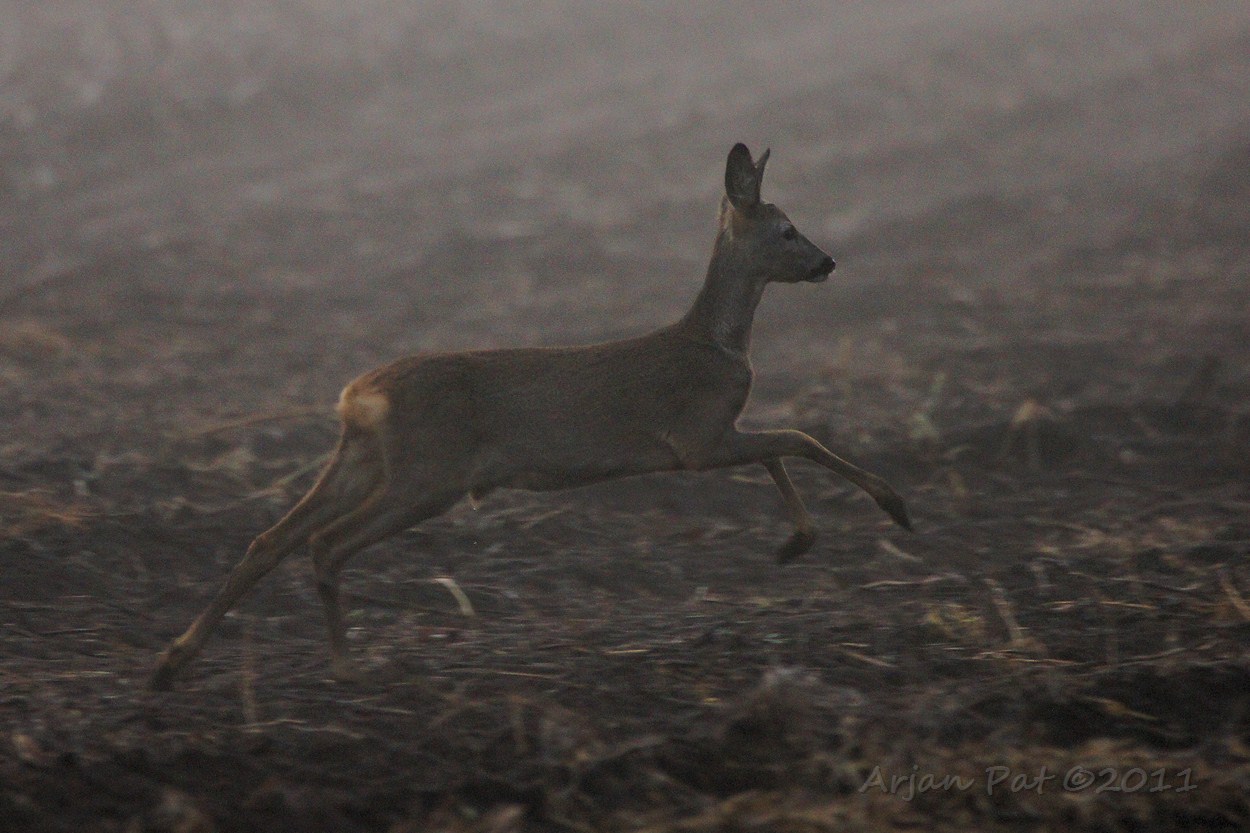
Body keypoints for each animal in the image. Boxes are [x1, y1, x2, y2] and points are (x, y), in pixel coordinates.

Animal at [149, 143, 912, 690]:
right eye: (787, 229)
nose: (827, 261)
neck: (719, 343)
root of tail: (358, 393)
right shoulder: (696, 435)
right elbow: (797, 438)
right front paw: (890, 506)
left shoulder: (706, 440)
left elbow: (782, 446)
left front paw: (797, 542)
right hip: (429, 472)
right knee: (326, 542)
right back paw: (342, 665)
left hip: (366, 458)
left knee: (270, 538)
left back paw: (171, 661)